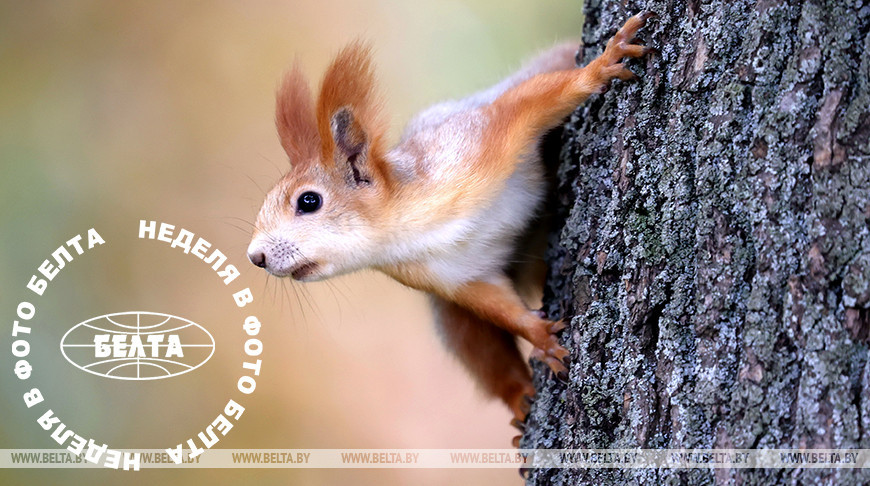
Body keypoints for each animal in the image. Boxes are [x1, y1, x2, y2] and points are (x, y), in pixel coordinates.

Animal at [247, 14, 656, 440]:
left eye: (309, 201)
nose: (255, 256)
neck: (408, 228)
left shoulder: (474, 142)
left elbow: (527, 104)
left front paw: (601, 65)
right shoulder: (455, 277)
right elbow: (498, 305)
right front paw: (540, 336)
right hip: (452, 315)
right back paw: (520, 398)